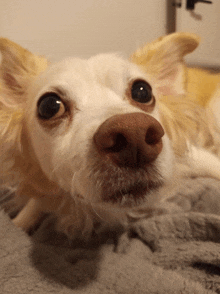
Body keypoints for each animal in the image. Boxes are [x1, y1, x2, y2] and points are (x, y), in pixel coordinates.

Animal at [0, 32, 219, 239]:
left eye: (143, 91)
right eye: (49, 106)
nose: (134, 134)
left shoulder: (194, 158)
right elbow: (35, 204)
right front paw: (21, 221)